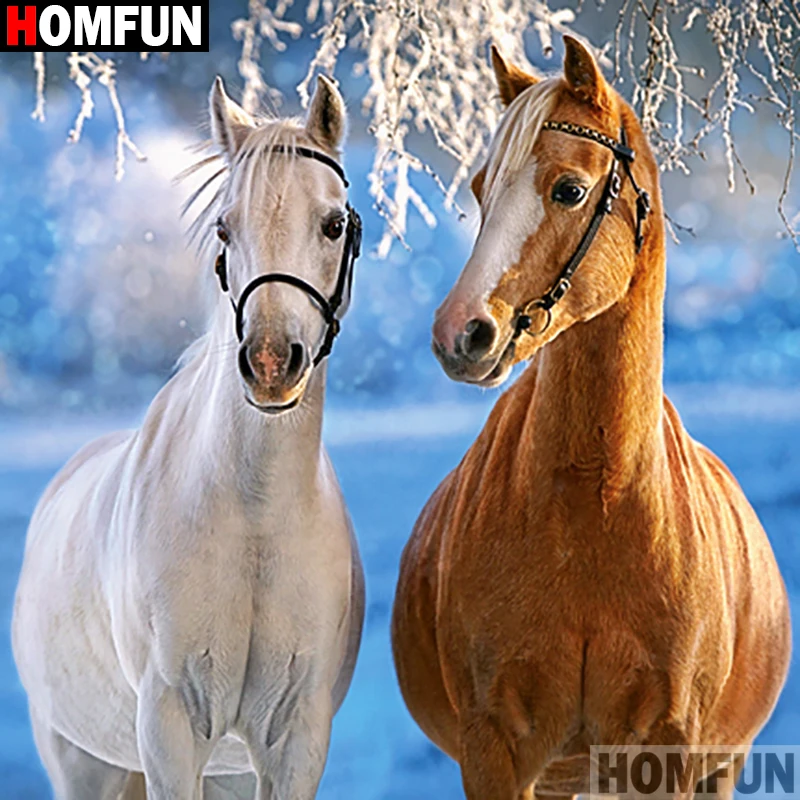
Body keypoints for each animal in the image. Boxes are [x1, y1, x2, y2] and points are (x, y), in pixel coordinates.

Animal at [13, 74, 365, 800]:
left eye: (334, 223)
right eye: (225, 226)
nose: (270, 362)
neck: (255, 519)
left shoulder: (294, 742)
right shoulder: (171, 731)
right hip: (82, 763)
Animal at [391, 36, 790, 800]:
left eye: (569, 190)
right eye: (481, 190)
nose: (461, 334)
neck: (593, 506)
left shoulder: (663, 753)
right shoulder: (495, 752)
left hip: (716, 767)